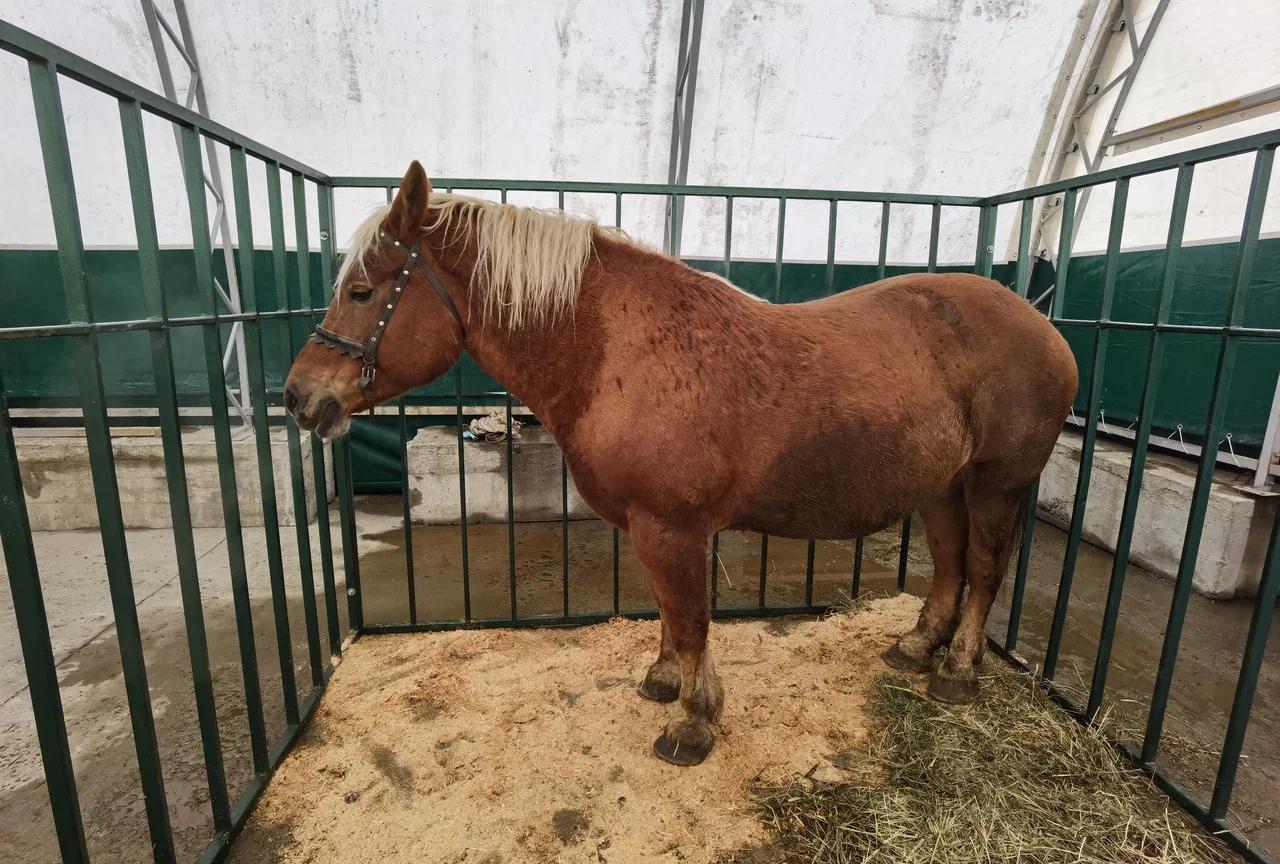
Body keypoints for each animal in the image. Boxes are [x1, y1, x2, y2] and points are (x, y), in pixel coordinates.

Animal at [285, 162, 1075, 762]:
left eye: (362, 291)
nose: (298, 396)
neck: (615, 351)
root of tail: (1040, 322)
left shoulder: (674, 528)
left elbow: (691, 619)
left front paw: (694, 723)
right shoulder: (651, 529)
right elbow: (670, 614)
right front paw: (664, 682)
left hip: (996, 483)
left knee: (983, 570)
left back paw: (960, 670)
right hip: (943, 485)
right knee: (948, 565)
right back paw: (917, 647)